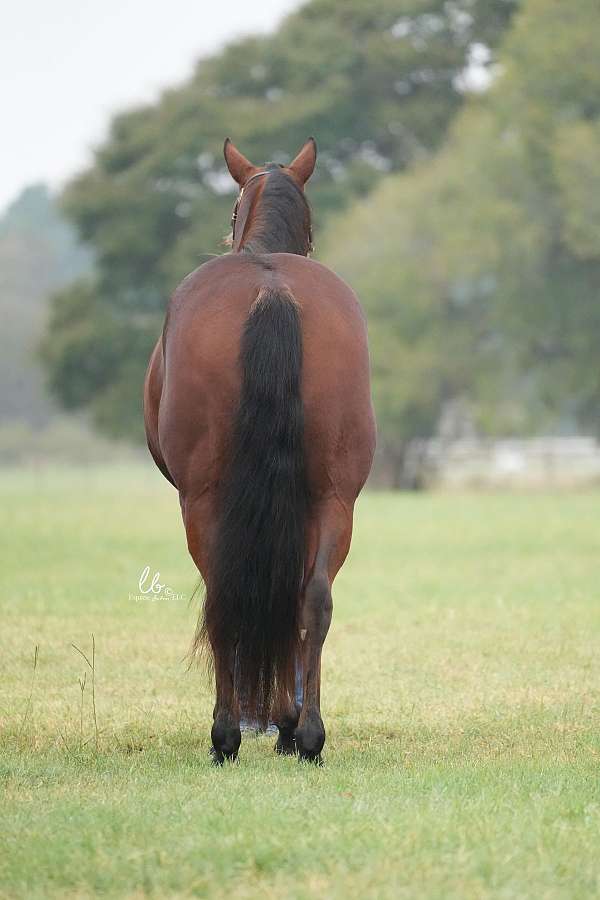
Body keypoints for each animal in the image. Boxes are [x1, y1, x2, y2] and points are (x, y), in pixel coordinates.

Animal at [144, 137, 376, 764]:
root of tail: (271, 289)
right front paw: (289, 724)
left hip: (203, 501)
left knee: (223, 598)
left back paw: (228, 733)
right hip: (334, 498)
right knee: (313, 597)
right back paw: (309, 735)